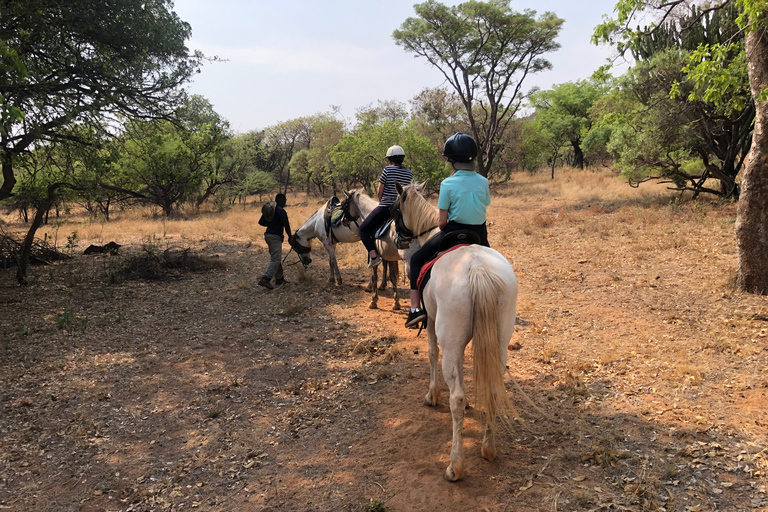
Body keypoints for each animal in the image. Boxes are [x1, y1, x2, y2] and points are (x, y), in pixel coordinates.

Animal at [396, 182, 516, 482]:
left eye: (396, 209)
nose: (399, 241)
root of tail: (477, 268)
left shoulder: (432, 325)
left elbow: (430, 353)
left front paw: (432, 395)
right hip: (499, 342)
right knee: (492, 386)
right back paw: (488, 448)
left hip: (450, 341)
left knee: (457, 397)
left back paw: (455, 465)